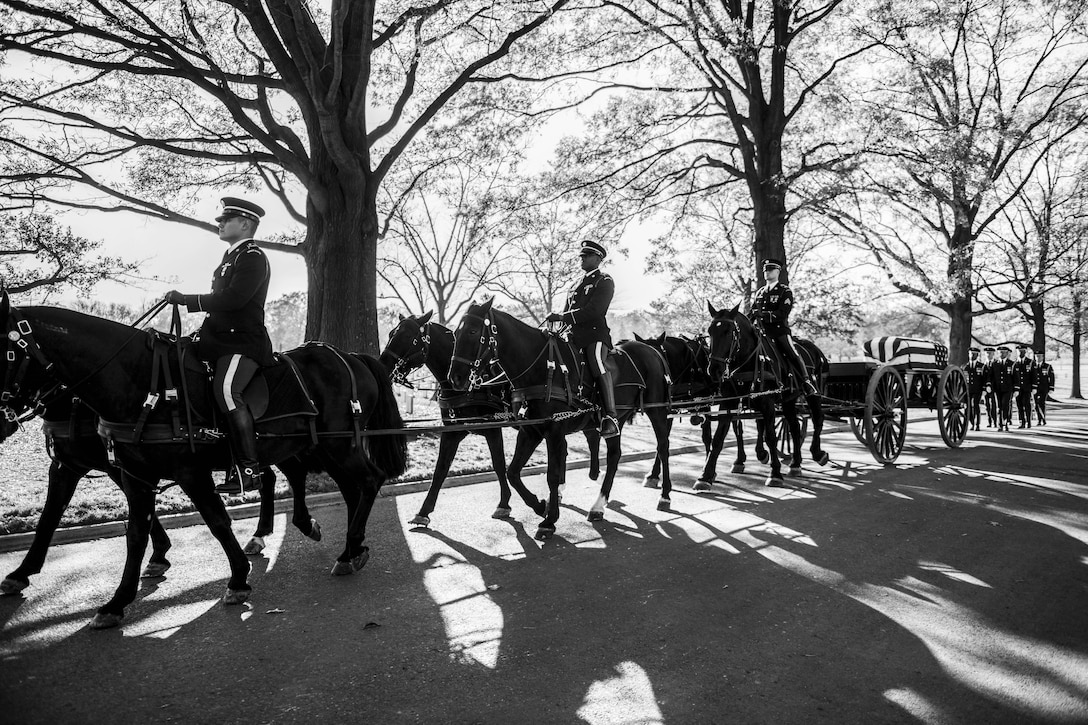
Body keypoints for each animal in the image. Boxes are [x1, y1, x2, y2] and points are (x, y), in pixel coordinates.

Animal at [0, 291, 406, 622]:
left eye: (8, 351)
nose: (1, 420)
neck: (141, 382)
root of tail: (348, 356)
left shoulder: (188, 472)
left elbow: (216, 521)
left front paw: (238, 578)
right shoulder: (121, 472)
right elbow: (121, 530)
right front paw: (116, 600)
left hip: (338, 445)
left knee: (367, 481)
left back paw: (345, 547)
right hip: (318, 446)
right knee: (339, 487)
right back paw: (344, 545)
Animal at [380, 309, 604, 524]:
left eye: (409, 337)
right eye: (391, 334)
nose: (383, 365)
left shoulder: (492, 428)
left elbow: (498, 465)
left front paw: (505, 503)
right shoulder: (452, 430)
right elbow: (441, 469)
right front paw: (424, 511)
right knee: (576, 442)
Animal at [443, 296, 665, 539]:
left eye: (473, 331)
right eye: (456, 332)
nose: (455, 378)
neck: (541, 368)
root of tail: (651, 350)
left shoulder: (554, 431)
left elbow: (551, 474)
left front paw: (549, 520)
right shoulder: (530, 431)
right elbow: (513, 472)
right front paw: (541, 506)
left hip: (657, 411)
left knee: (663, 445)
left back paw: (663, 494)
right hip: (618, 420)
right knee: (615, 455)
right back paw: (598, 506)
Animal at [700, 300, 826, 485]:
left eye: (728, 331)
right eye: (710, 331)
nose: (714, 369)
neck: (748, 360)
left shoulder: (767, 404)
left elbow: (771, 437)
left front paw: (775, 473)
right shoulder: (729, 403)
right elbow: (719, 438)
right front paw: (706, 476)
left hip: (813, 395)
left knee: (817, 419)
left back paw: (818, 453)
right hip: (788, 401)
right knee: (794, 427)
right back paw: (795, 463)